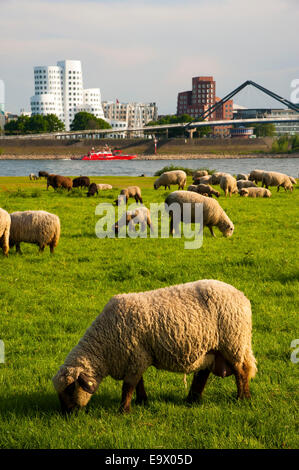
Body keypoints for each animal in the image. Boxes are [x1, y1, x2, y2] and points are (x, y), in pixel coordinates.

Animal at [52, 278, 258, 414]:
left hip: (233, 343)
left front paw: (124, 410)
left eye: (70, 389)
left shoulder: (137, 357)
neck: (104, 344)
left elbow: (129, 386)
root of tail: (242, 296)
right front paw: (142, 401)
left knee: (241, 371)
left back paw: (243, 398)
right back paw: (192, 399)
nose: (65, 414)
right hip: (212, 350)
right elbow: (139, 382)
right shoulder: (135, 358)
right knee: (203, 374)